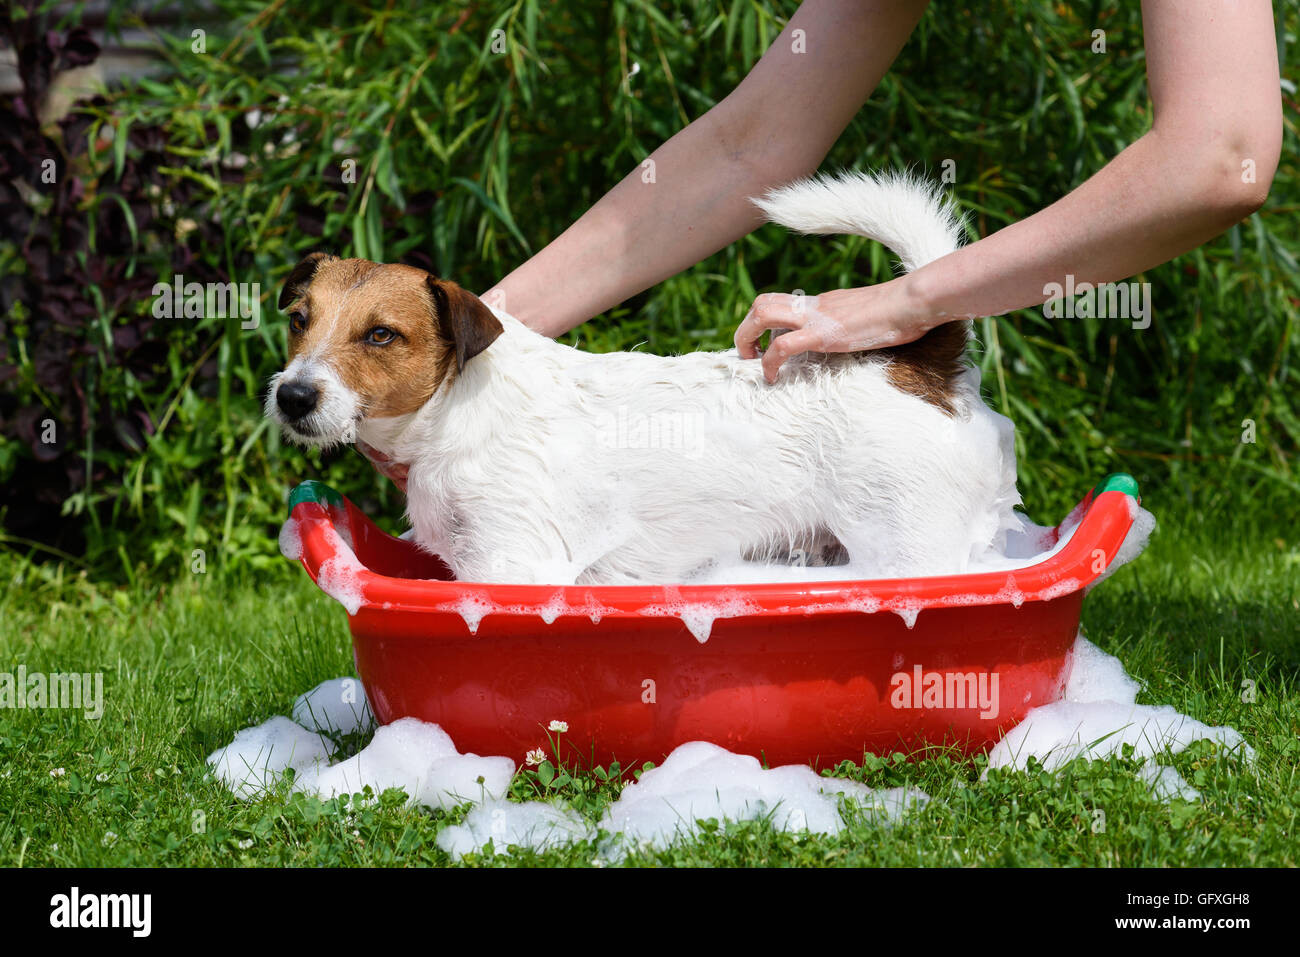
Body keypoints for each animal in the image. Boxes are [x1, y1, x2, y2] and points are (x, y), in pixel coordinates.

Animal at [266, 175, 1024, 587]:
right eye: (300, 319)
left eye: (381, 335)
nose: (292, 395)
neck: (457, 412)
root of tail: (921, 361)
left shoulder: (515, 567)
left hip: (911, 542)